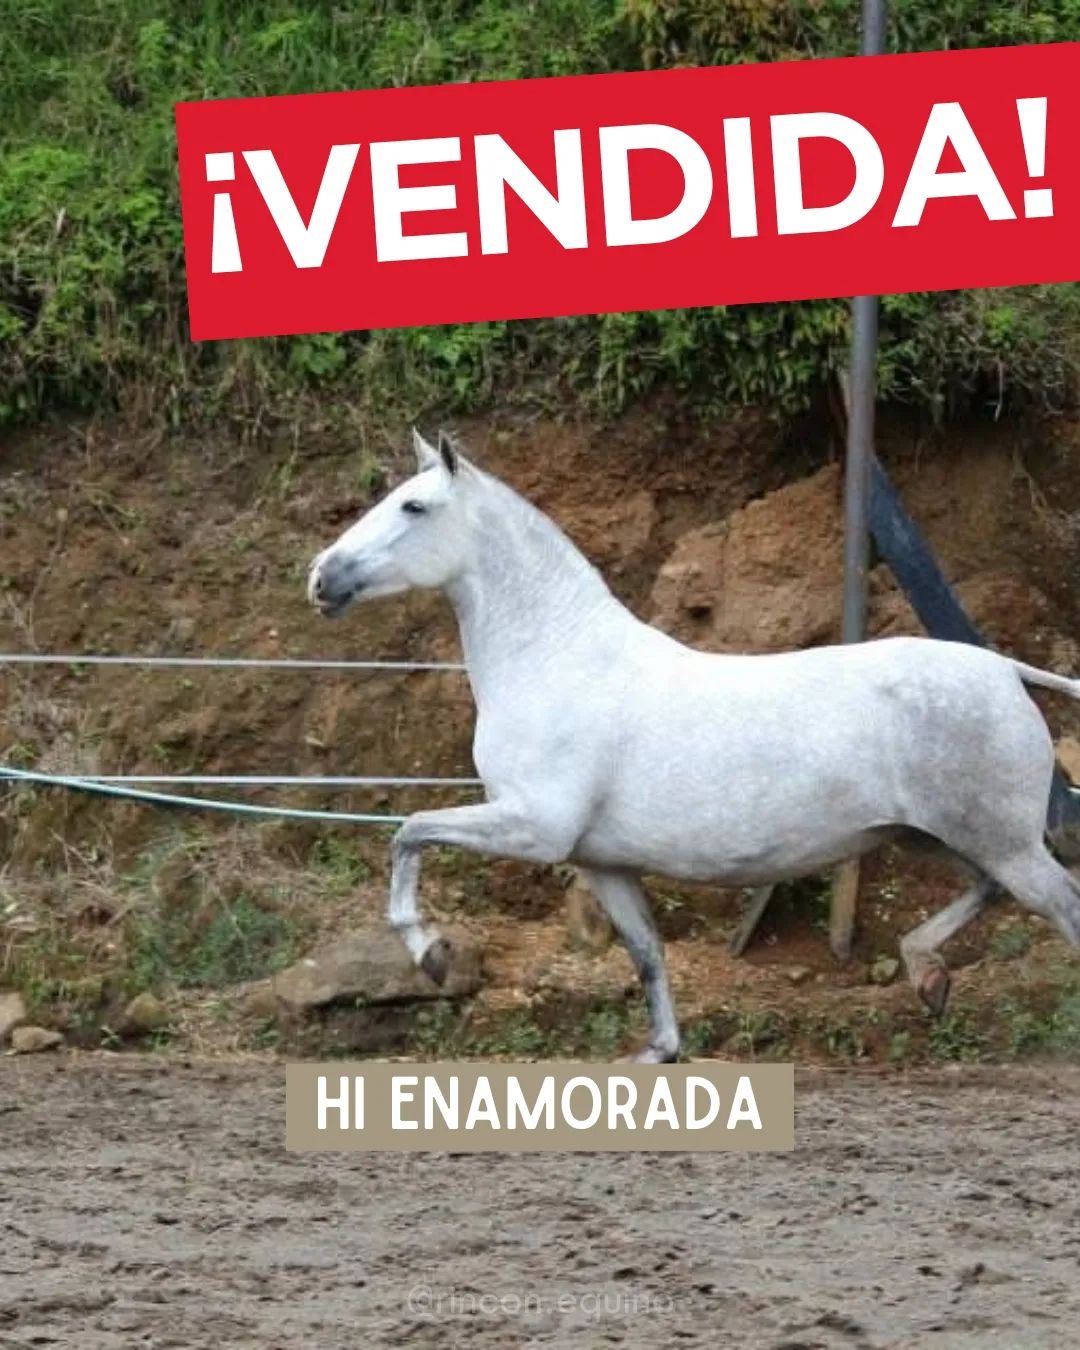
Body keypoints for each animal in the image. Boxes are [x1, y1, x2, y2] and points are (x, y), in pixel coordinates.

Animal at [307, 428, 1080, 1062]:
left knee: (1062, 903)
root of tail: (1006, 670)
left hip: (995, 839)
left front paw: (432, 956)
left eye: (413, 507)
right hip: (940, 837)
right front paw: (660, 1052)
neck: (556, 658)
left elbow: (409, 832)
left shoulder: (536, 827)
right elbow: (647, 953)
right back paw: (927, 976)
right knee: (990, 891)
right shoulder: (601, 862)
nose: (321, 578)